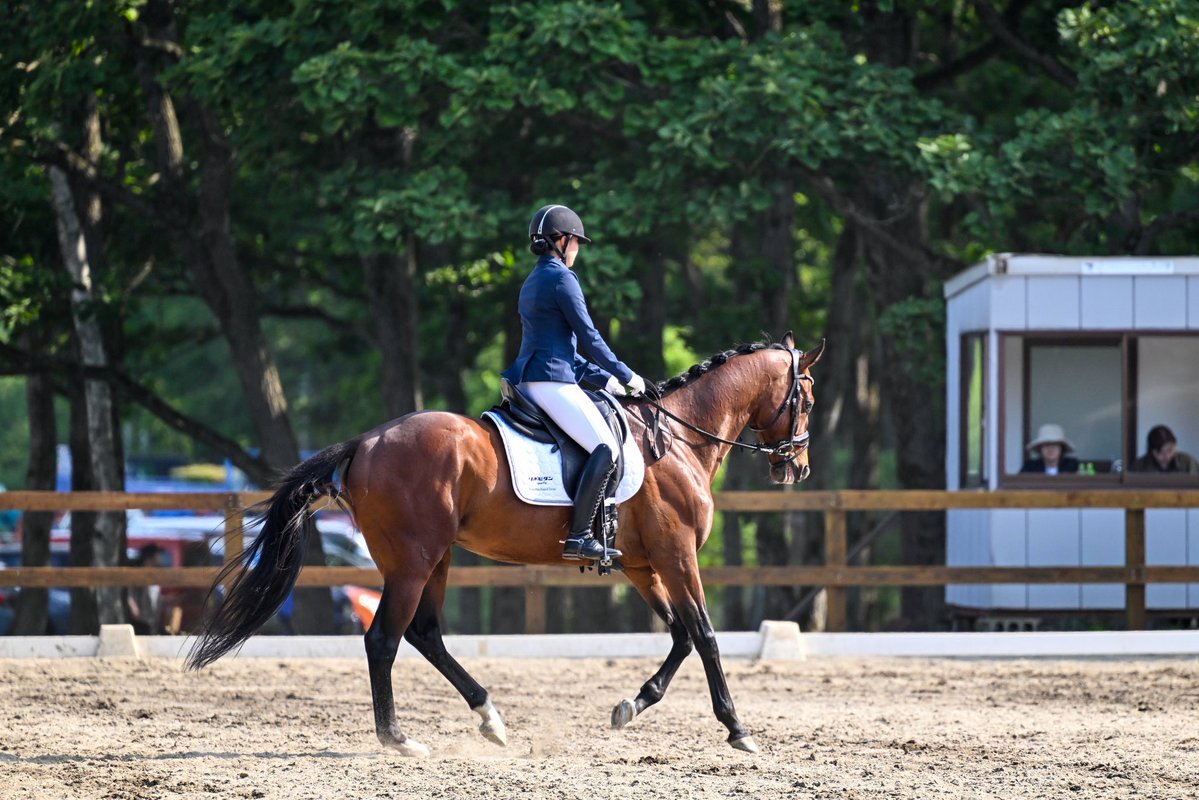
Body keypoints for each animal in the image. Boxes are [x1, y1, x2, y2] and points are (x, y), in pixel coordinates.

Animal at [188, 332, 824, 756]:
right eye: (809, 398)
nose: (797, 467)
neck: (678, 437)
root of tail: (365, 442)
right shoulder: (677, 556)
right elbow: (707, 636)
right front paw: (738, 729)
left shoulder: (644, 565)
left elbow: (680, 635)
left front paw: (631, 706)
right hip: (413, 561)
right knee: (384, 639)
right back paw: (399, 739)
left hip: (436, 558)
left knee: (424, 634)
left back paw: (490, 718)